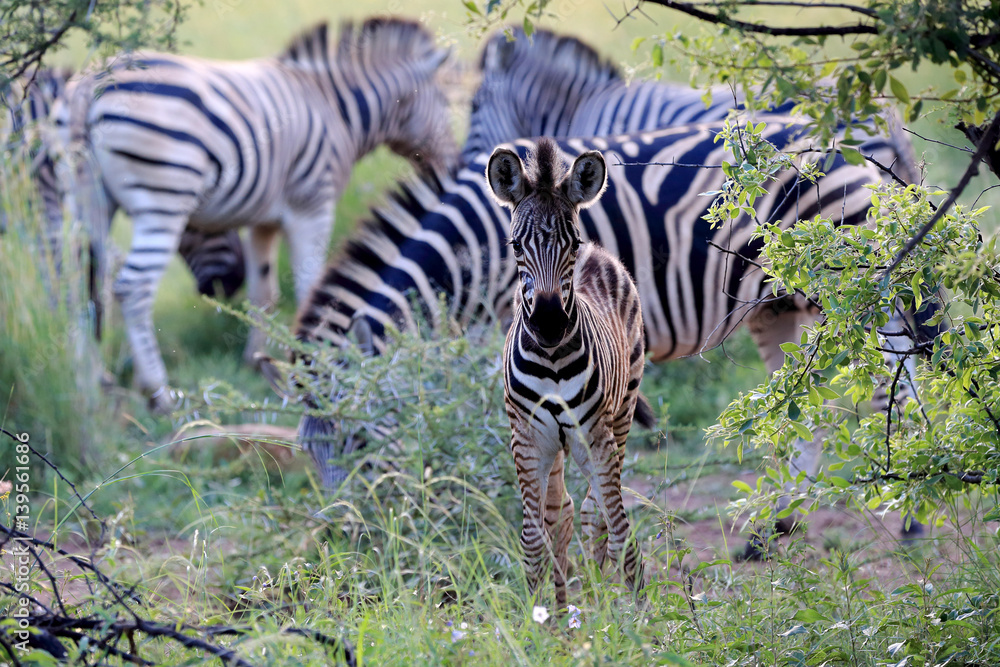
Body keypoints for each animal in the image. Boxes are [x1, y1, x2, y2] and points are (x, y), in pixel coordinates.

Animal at [52, 18, 457, 412]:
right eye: (444, 100)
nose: (450, 165)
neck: (336, 108)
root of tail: (89, 84)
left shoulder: (264, 220)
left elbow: (265, 293)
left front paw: (257, 363)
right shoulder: (313, 205)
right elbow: (311, 285)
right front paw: (312, 355)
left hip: (91, 201)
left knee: (80, 286)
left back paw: (88, 384)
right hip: (164, 197)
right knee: (133, 287)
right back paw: (159, 394)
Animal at [488, 138, 646, 607]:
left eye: (570, 243)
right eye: (515, 246)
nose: (548, 324)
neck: (553, 361)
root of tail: (600, 252)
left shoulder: (593, 433)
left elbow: (619, 529)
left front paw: (640, 614)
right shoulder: (526, 438)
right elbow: (533, 537)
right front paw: (539, 616)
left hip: (622, 412)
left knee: (594, 512)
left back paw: (596, 597)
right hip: (552, 443)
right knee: (562, 513)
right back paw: (563, 607)